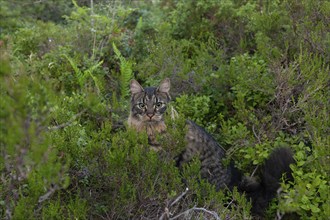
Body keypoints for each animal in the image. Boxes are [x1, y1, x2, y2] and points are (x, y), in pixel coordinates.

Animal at [127, 78, 296, 217]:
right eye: (142, 105)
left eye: (158, 105)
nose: (150, 114)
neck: (148, 131)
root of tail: (235, 186)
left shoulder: (166, 159)